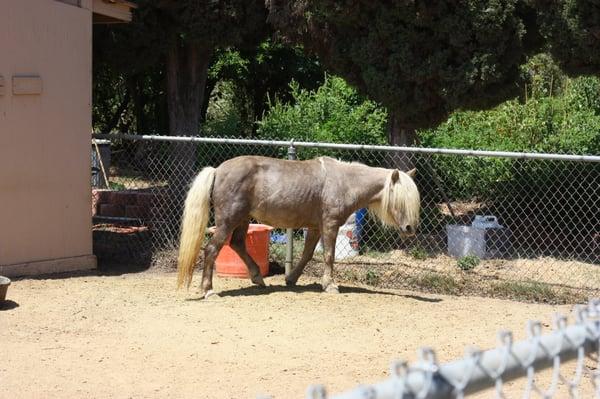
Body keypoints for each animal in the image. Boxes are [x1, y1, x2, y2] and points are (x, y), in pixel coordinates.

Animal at [176, 155, 420, 298]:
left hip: (243, 220)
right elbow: (328, 256)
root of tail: (217, 170)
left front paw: (291, 279)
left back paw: (258, 278)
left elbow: (307, 254)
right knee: (212, 249)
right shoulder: (330, 225)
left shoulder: (315, 227)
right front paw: (330, 285)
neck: (344, 182)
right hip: (228, 220)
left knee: (237, 245)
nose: (410, 229)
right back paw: (209, 290)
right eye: (400, 199)